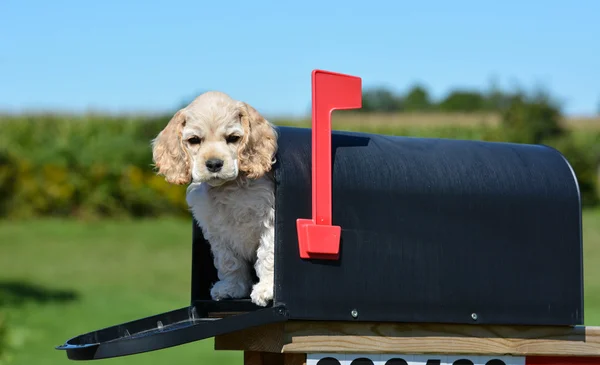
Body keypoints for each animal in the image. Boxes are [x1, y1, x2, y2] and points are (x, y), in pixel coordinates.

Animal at [152, 90, 278, 304]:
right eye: (194, 140)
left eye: (233, 138)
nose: (214, 164)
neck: (228, 187)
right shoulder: (217, 232)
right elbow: (229, 262)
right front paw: (231, 288)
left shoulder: (269, 220)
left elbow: (268, 254)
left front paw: (267, 289)